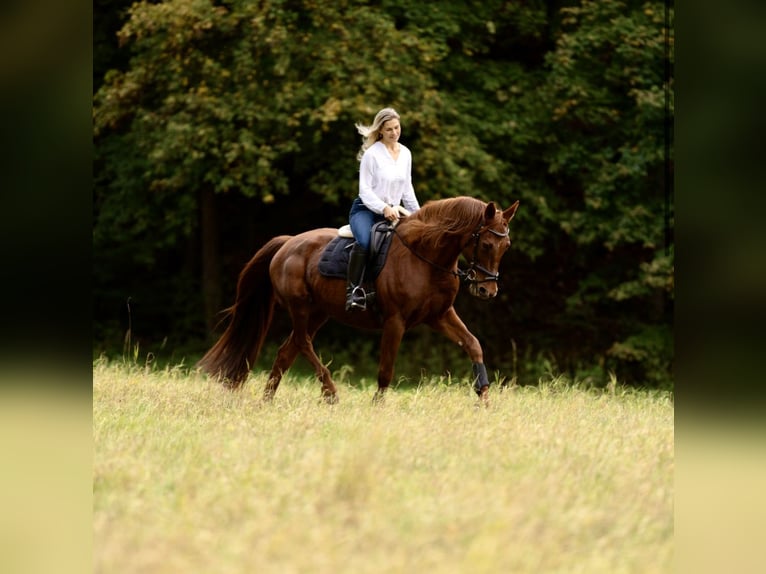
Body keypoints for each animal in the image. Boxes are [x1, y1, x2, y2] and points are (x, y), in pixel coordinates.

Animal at [197, 196, 519, 404]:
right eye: (487, 244)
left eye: (506, 245)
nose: (487, 291)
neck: (426, 257)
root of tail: (288, 243)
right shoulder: (395, 321)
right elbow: (386, 369)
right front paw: (377, 406)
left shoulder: (439, 316)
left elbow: (473, 345)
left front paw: (484, 396)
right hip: (300, 308)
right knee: (302, 342)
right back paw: (330, 392)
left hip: (319, 312)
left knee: (288, 350)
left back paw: (267, 400)